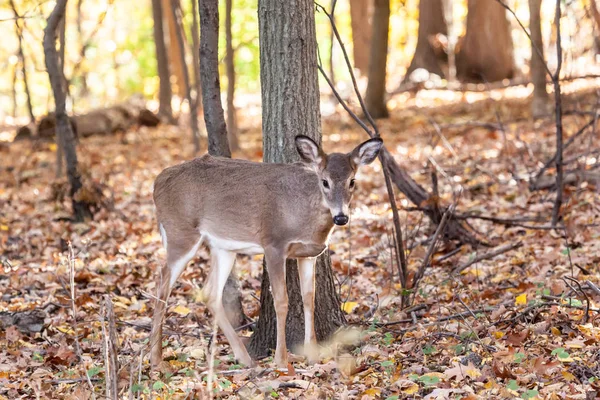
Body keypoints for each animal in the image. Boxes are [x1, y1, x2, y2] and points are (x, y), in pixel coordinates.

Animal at [151, 134, 384, 368]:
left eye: (352, 181)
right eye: (325, 181)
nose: (341, 217)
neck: (304, 217)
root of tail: (157, 181)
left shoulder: (308, 254)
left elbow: (309, 299)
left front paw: (312, 355)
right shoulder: (273, 244)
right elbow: (281, 300)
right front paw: (281, 360)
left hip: (223, 247)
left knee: (209, 291)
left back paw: (244, 358)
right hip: (181, 232)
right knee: (162, 283)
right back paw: (156, 359)